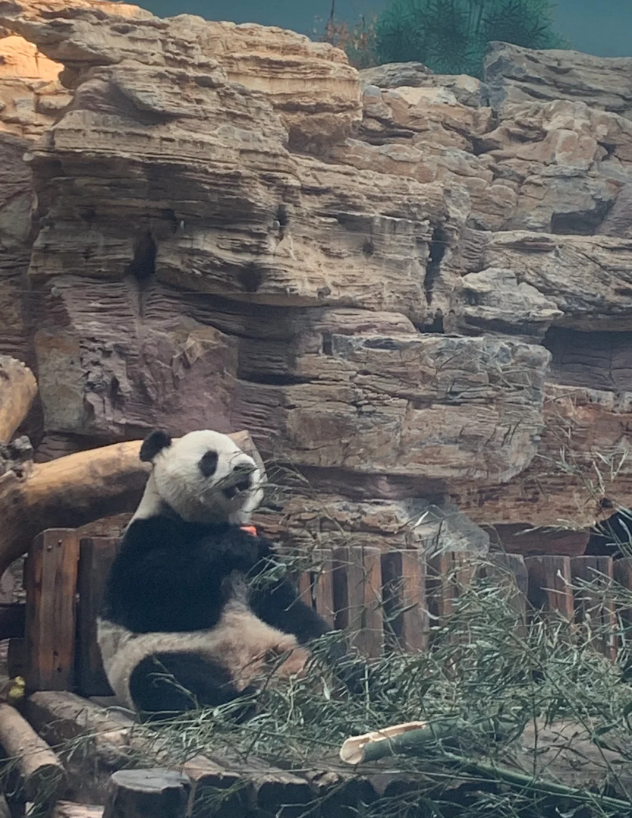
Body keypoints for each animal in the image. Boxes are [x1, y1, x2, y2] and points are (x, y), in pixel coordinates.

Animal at [95, 424, 358, 716]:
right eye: (209, 458)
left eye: (240, 451)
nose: (245, 467)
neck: (208, 522)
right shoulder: (147, 534)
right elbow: (148, 600)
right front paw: (234, 546)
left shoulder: (262, 570)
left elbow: (288, 608)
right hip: (173, 652)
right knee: (165, 678)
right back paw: (244, 702)